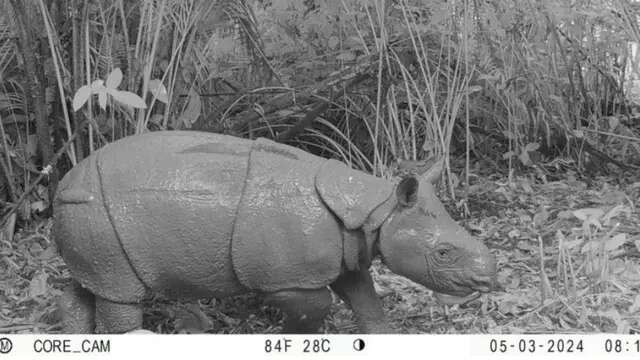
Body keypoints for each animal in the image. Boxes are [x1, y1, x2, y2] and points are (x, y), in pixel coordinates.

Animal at [52, 131, 498, 334]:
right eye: (443, 253)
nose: (487, 280)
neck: (376, 210)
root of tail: (63, 185)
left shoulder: (347, 253)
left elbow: (365, 298)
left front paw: (383, 335)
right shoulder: (285, 278)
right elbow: (317, 304)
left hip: (93, 221)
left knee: (95, 283)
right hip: (99, 213)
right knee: (120, 295)